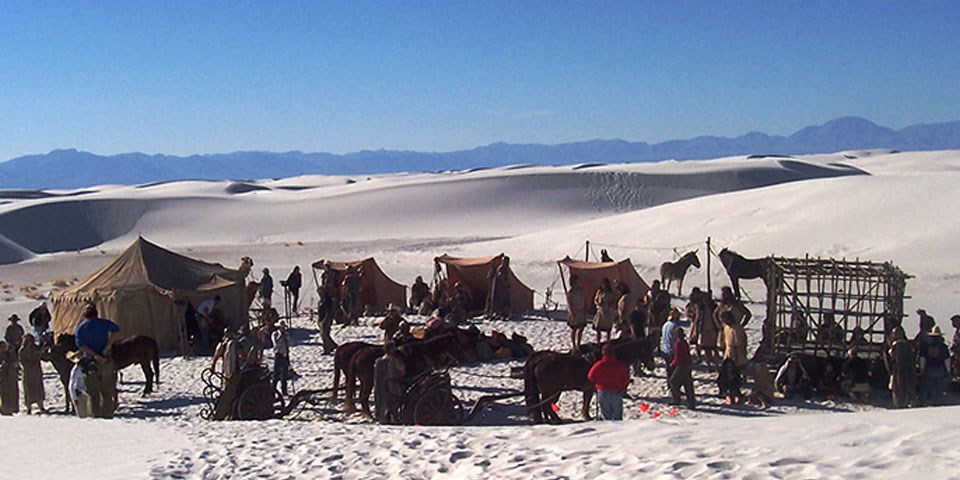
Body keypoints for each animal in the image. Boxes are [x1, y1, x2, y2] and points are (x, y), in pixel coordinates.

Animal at [520, 338, 656, 424]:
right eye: (647, 350)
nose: (652, 366)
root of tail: (539, 361)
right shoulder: (592, 389)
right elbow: (588, 403)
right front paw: (588, 416)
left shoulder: (589, 389)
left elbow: (586, 402)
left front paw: (587, 416)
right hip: (552, 391)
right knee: (546, 405)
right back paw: (556, 420)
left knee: (543, 406)